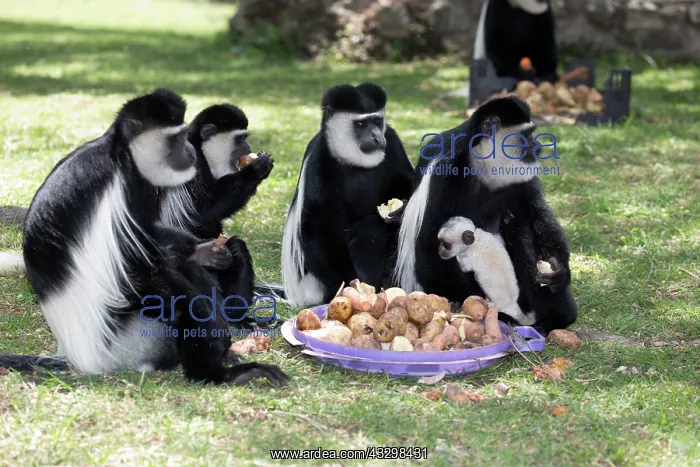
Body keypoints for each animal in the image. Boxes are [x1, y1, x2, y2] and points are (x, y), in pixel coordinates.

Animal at [0, 88, 289, 386]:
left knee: (235, 251)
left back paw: (239, 319)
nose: (248, 148)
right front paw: (254, 171)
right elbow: (199, 214)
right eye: (241, 139)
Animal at [280, 82, 415, 308]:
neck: (356, 162)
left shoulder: (392, 141)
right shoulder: (318, 160)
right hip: (313, 284)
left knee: (373, 227)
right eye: (361, 124)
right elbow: (317, 227)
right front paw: (348, 286)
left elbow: (407, 182)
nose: (377, 137)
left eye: (377, 121)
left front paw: (400, 209)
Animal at [393, 95, 577, 334]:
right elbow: (428, 243)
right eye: (525, 136)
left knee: (520, 224)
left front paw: (558, 268)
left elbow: (537, 214)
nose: (538, 148)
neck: (480, 164)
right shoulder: (443, 174)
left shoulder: (519, 176)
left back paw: (553, 318)